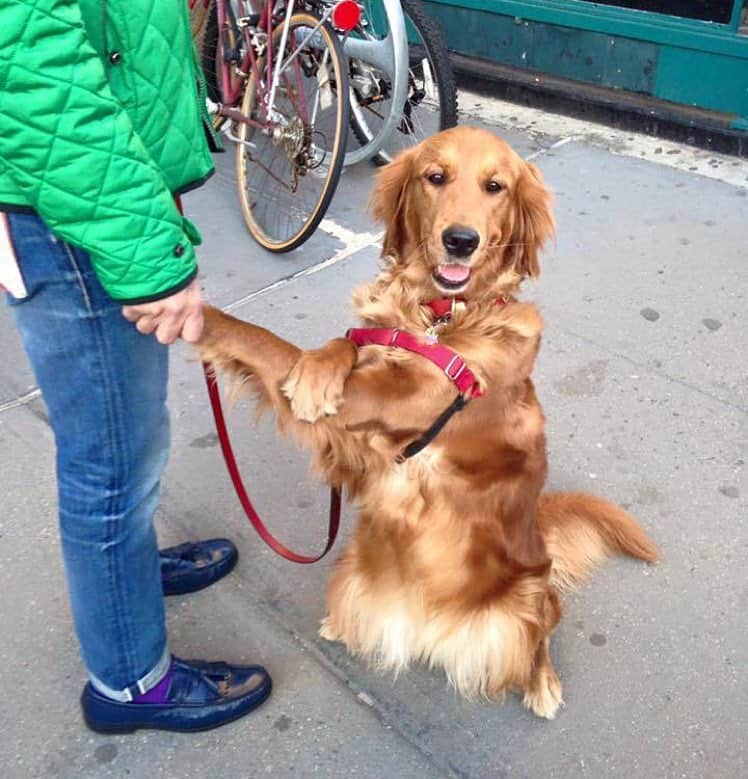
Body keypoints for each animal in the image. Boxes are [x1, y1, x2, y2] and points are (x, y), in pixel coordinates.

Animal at [196, 126, 656, 720]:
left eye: (495, 186)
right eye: (435, 177)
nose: (460, 240)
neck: (439, 315)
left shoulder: (406, 401)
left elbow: (265, 340)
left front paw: (191, 311)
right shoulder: (359, 438)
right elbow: (344, 342)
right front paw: (318, 366)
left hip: (530, 593)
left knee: (541, 635)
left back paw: (542, 684)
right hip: (353, 563)